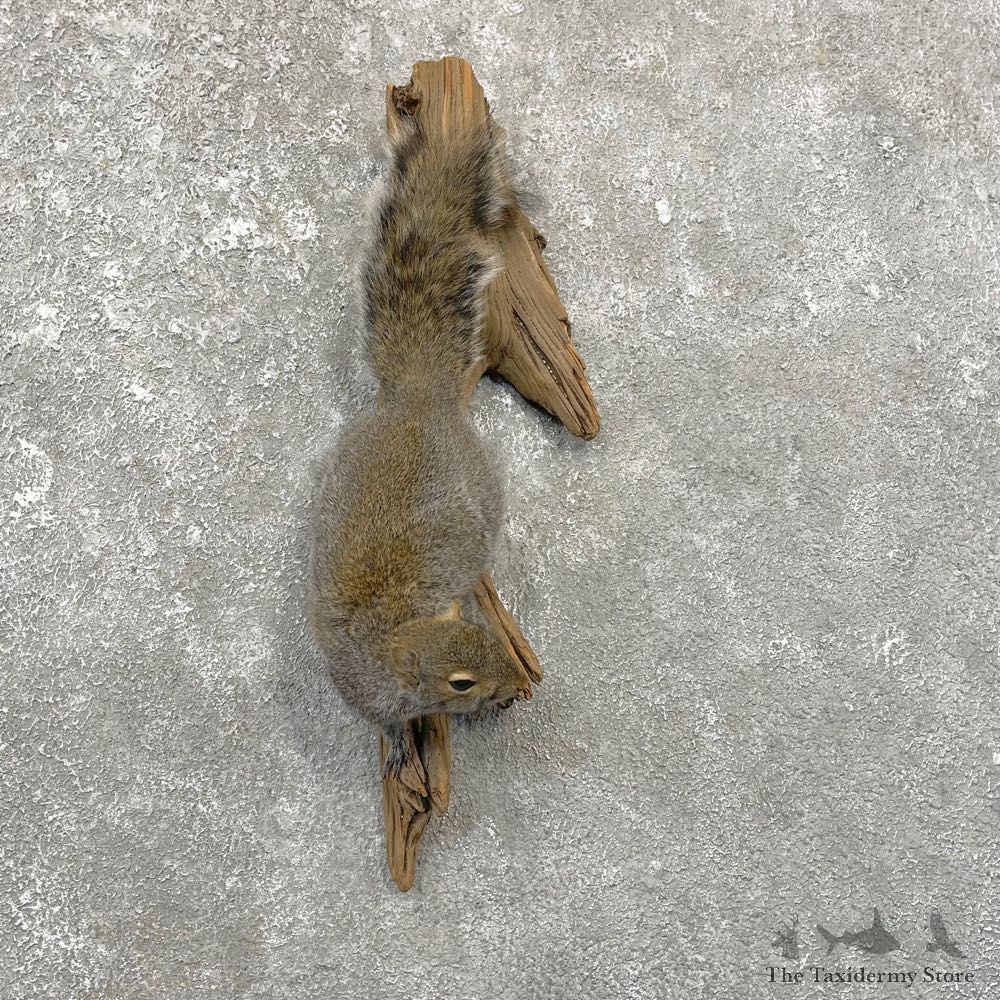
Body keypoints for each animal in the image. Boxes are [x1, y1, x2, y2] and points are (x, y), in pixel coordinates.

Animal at [308, 117, 534, 776]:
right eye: (459, 682)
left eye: (488, 639)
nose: (515, 689)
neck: (396, 632)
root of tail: (417, 397)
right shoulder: (359, 691)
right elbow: (385, 720)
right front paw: (403, 745)